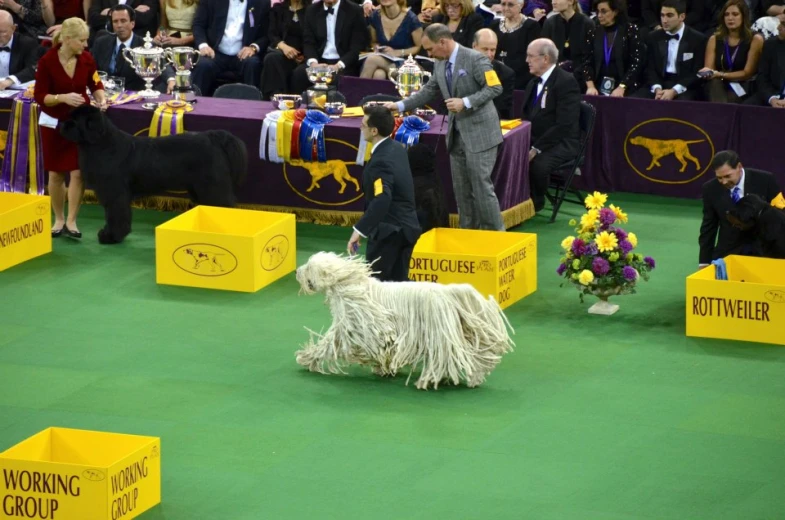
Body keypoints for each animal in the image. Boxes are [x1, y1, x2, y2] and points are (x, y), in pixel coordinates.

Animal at [60, 105, 245, 246]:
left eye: (75, 121)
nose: (62, 124)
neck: (103, 144)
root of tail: (213, 136)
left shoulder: (115, 192)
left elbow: (116, 214)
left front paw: (110, 236)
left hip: (213, 187)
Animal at [294, 252, 516, 390]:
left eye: (309, 267)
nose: (297, 271)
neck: (349, 286)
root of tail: (446, 294)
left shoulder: (357, 327)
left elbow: (329, 345)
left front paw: (307, 358)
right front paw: (383, 368)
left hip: (439, 337)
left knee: (449, 358)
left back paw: (430, 380)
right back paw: (474, 377)